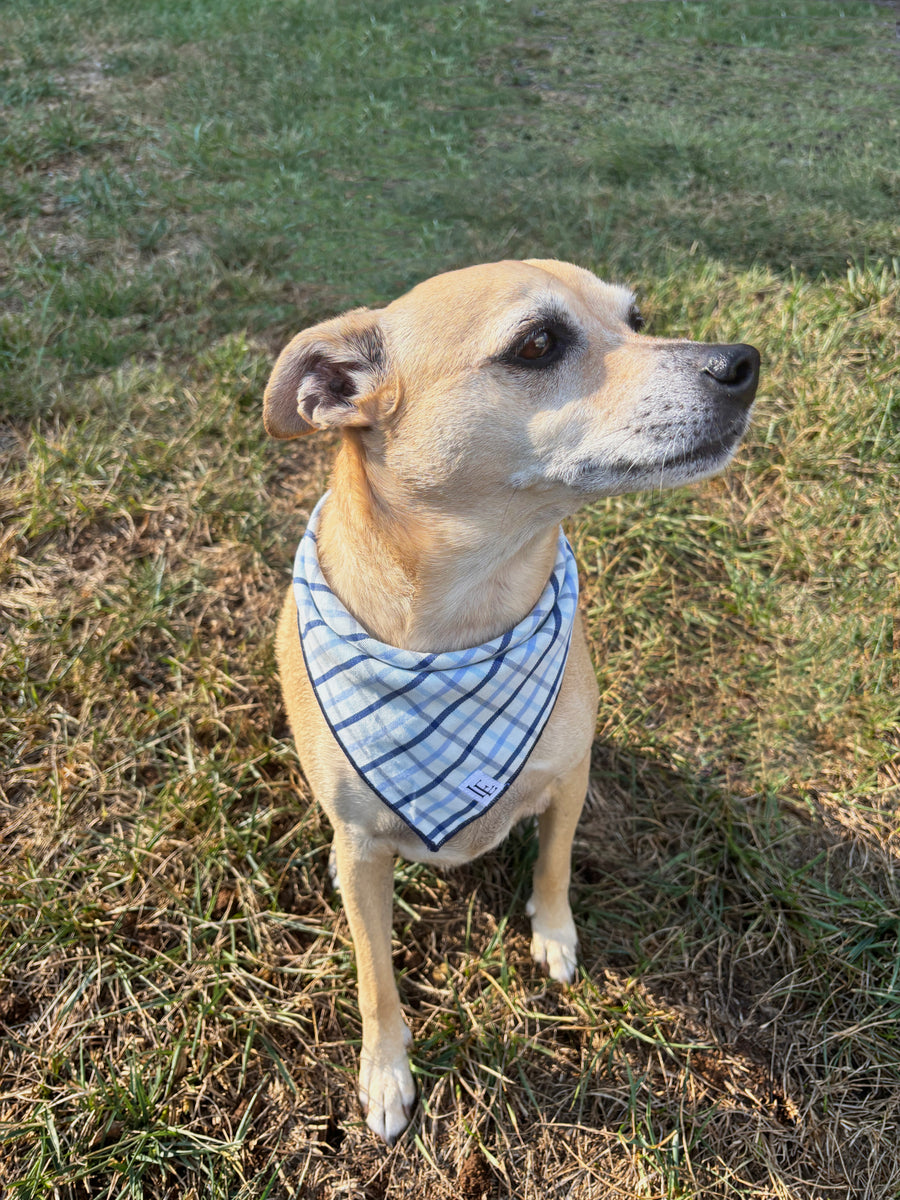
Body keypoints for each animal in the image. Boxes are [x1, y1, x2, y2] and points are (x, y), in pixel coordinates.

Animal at [262, 260, 763, 1142]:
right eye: (538, 344)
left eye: (637, 319)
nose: (742, 363)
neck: (468, 615)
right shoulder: (363, 853)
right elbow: (375, 975)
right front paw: (385, 1071)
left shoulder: (570, 778)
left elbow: (555, 863)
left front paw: (554, 935)